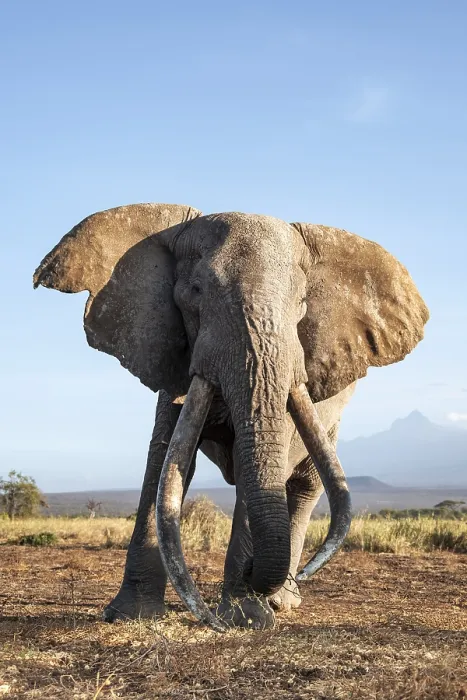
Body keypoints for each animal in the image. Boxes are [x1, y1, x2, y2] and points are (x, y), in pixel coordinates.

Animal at [33, 203, 429, 631]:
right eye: (194, 292)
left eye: (302, 303)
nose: (256, 574)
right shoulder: (171, 353)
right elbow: (166, 460)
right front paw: (129, 616)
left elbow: (252, 456)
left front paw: (247, 618)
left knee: (305, 483)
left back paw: (283, 600)